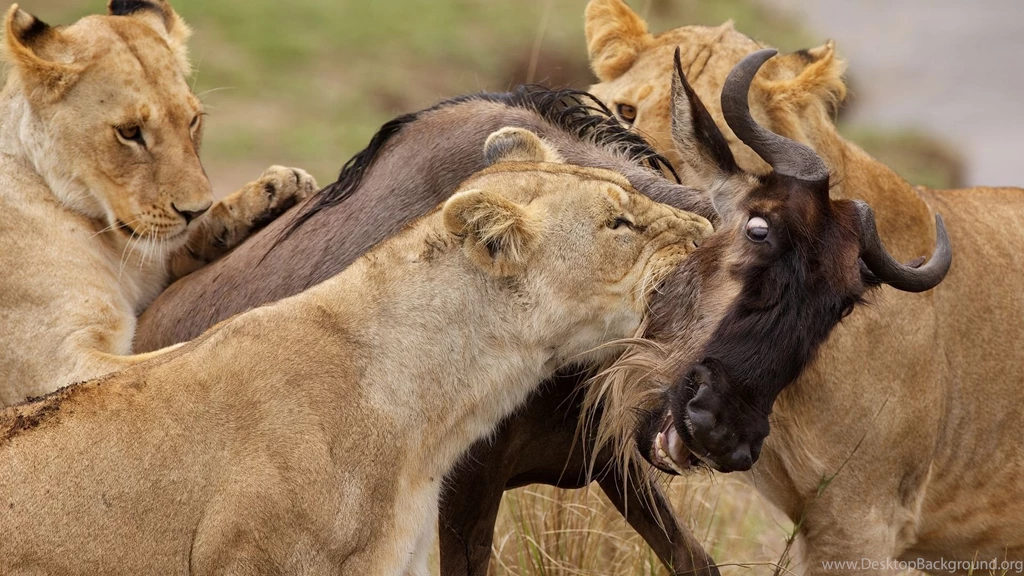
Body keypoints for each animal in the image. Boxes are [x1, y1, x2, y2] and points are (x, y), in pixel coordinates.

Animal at [0, 0, 318, 405]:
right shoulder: (57, 368)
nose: (194, 210)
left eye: (193, 120)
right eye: (130, 132)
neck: (113, 244)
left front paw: (274, 190)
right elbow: (179, 358)